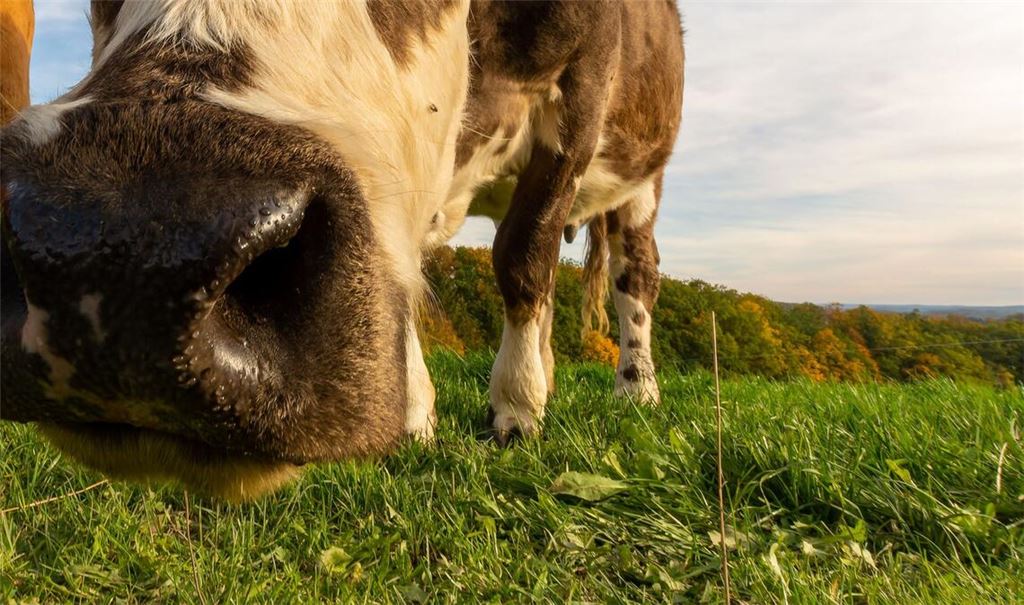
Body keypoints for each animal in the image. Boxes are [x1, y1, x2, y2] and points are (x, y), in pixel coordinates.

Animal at [1, 1, 684, 500]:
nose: (119, 257)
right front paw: (416, 418)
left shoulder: (580, 96)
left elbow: (520, 258)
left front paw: (515, 409)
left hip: (641, 182)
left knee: (633, 277)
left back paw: (636, 389)